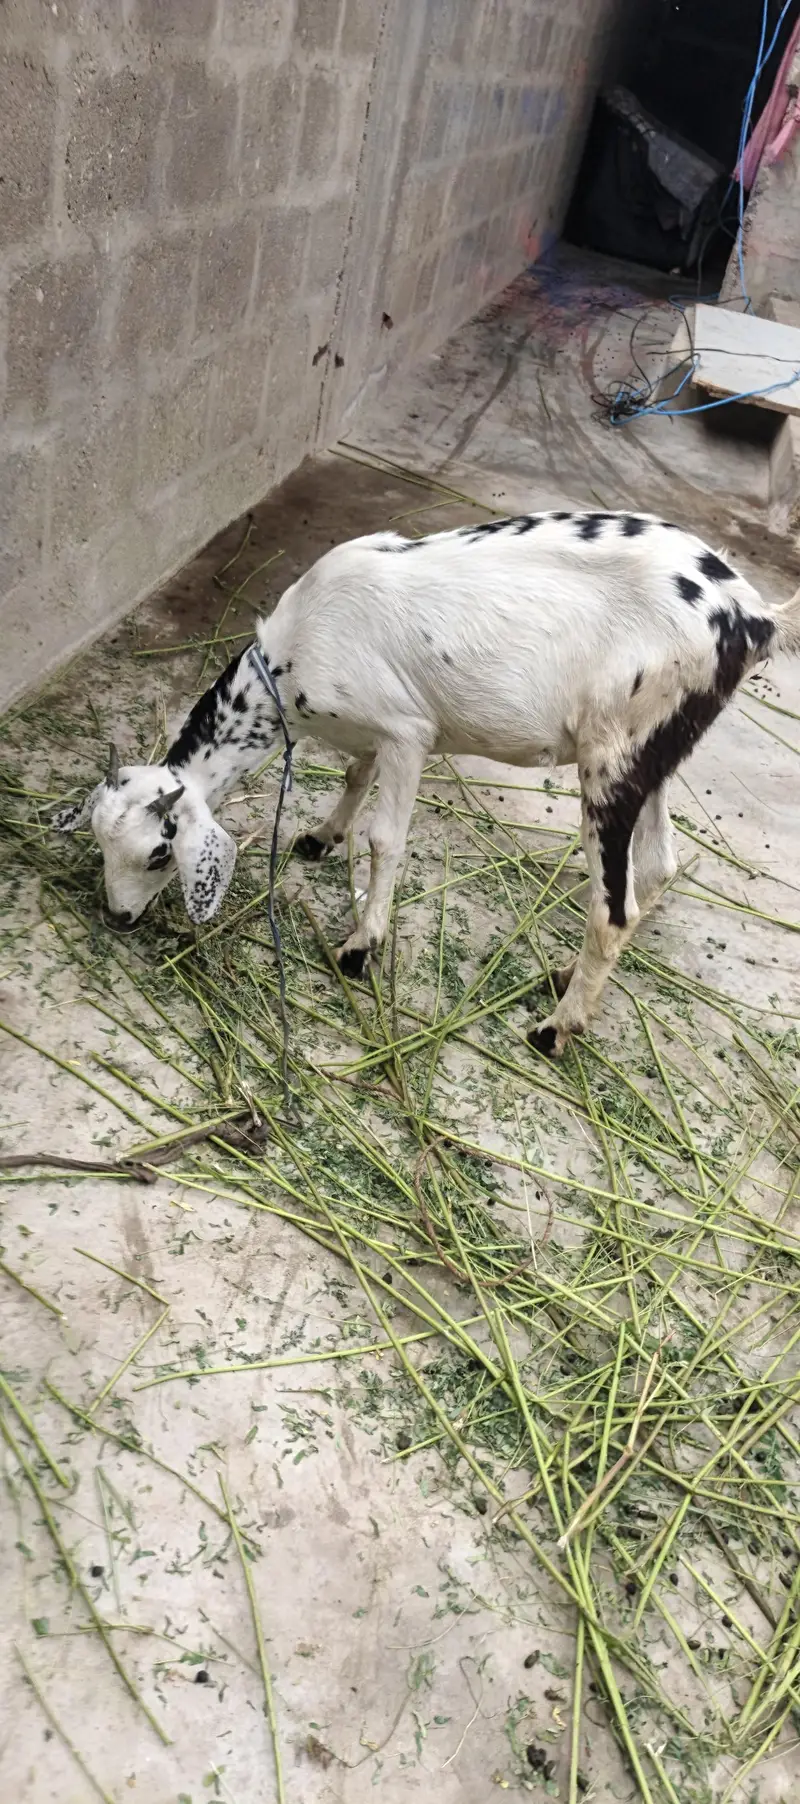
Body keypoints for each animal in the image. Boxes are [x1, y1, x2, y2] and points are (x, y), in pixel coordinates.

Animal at [54, 509, 800, 1056]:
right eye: (100, 840)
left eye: (159, 854)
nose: (117, 917)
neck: (291, 662)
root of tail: (752, 615)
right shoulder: (371, 732)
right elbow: (354, 774)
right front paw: (320, 837)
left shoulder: (408, 731)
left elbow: (386, 840)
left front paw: (361, 946)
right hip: (655, 747)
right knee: (659, 866)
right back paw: (566, 976)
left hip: (612, 755)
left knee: (614, 909)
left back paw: (556, 1028)